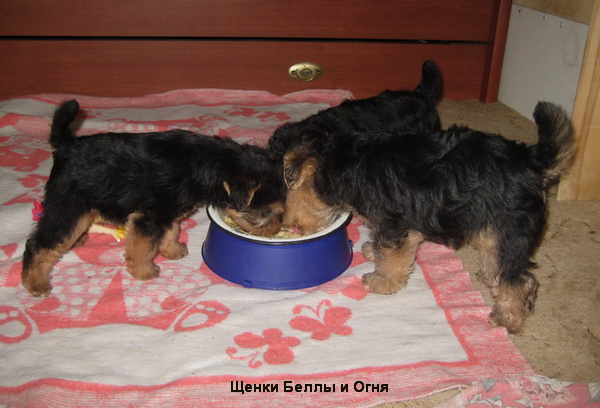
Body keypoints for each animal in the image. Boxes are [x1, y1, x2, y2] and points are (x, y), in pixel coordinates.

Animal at [22, 99, 286, 297]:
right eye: (265, 213)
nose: (275, 231)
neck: (207, 165)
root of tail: (66, 146)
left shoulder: (168, 212)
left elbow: (171, 231)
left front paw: (173, 250)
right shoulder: (150, 216)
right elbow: (143, 247)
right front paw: (144, 271)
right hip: (69, 203)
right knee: (40, 244)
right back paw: (36, 284)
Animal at [278, 101, 574, 333]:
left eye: (290, 192)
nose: (291, 224)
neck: (344, 164)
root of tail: (532, 162)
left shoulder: (395, 223)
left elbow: (392, 258)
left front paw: (381, 281)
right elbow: (383, 247)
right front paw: (373, 251)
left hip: (510, 228)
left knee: (519, 280)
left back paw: (507, 318)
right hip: (495, 229)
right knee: (503, 265)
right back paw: (493, 280)